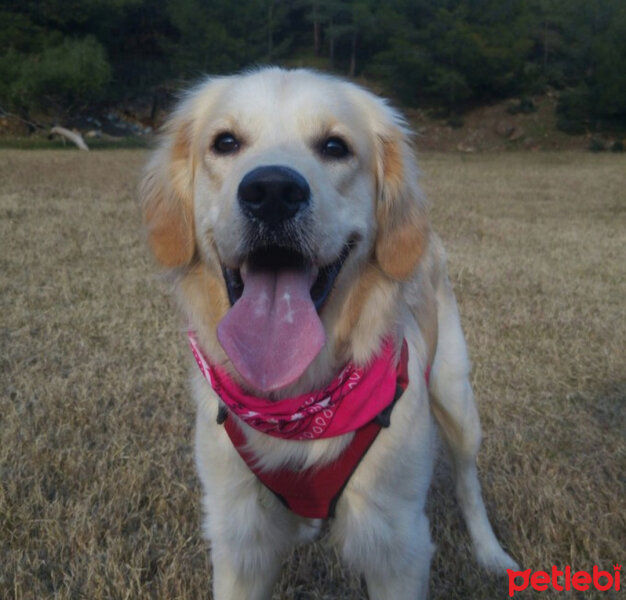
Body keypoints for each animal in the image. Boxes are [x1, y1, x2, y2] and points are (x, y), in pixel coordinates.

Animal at [139, 68, 516, 596]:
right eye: (225, 142)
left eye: (335, 147)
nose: (272, 192)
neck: (299, 405)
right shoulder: (239, 538)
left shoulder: (396, 541)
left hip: (456, 398)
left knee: (467, 480)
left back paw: (490, 553)